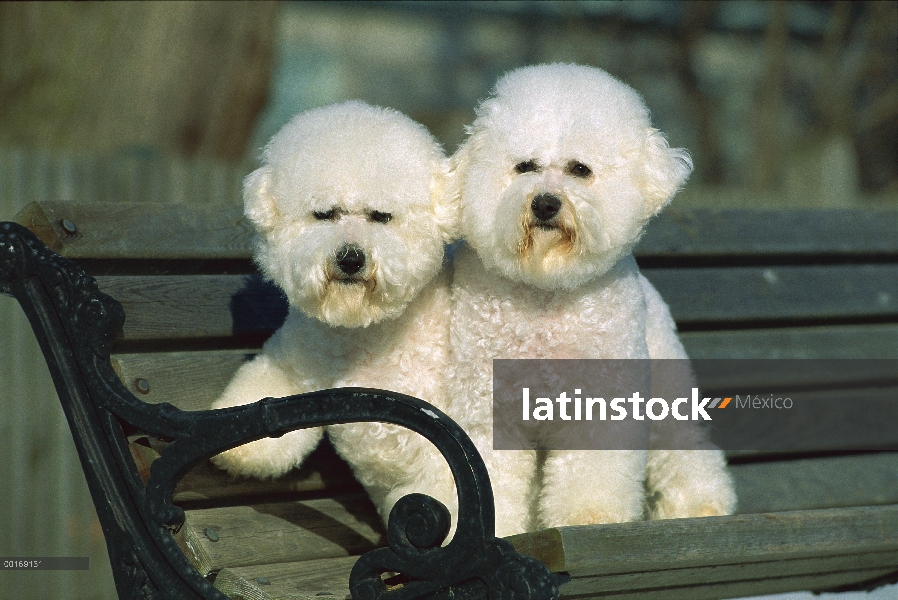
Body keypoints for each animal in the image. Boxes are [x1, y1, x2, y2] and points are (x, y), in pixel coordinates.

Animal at [448, 64, 736, 536]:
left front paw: (590, 518)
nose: (545, 204)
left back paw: (701, 505)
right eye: (524, 167)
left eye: (580, 169)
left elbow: (592, 472)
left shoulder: (600, 406)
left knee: (684, 446)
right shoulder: (487, 410)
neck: (547, 287)